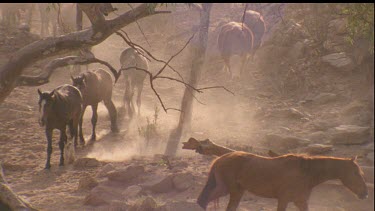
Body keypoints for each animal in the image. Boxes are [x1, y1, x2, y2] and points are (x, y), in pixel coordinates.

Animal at [198, 152, 368, 211]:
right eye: (356, 173)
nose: (365, 194)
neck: (306, 173)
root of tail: (220, 158)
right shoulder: (284, 200)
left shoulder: (301, 202)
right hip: (227, 189)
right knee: (205, 201)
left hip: (236, 191)